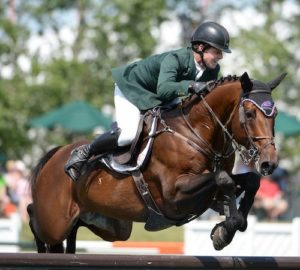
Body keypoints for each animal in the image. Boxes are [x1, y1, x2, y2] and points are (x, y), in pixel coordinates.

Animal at [27, 71, 286, 253]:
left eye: (275, 116)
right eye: (250, 114)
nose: (269, 163)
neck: (197, 133)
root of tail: (55, 155)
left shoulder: (207, 197)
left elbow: (248, 183)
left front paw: (226, 228)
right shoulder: (174, 195)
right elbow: (223, 179)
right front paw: (224, 230)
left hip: (111, 226)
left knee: (72, 231)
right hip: (54, 222)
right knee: (34, 218)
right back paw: (77, 159)